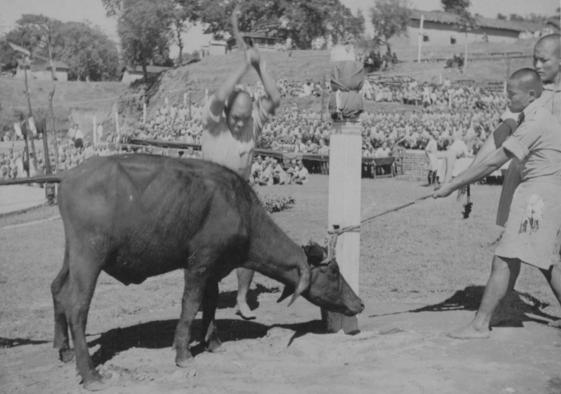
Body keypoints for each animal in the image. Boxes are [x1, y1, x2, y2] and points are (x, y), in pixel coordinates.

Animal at [27, 155, 364, 390]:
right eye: (334, 271)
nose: (359, 303)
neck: (239, 210)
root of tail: (70, 174)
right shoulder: (199, 264)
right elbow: (190, 306)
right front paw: (182, 352)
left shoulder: (215, 269)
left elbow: (210, 304)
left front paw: (212, 342)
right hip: (89, 257)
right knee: (78, 307)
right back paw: (89, 373)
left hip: (72, 255)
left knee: (57, 288)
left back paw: (64, 350)